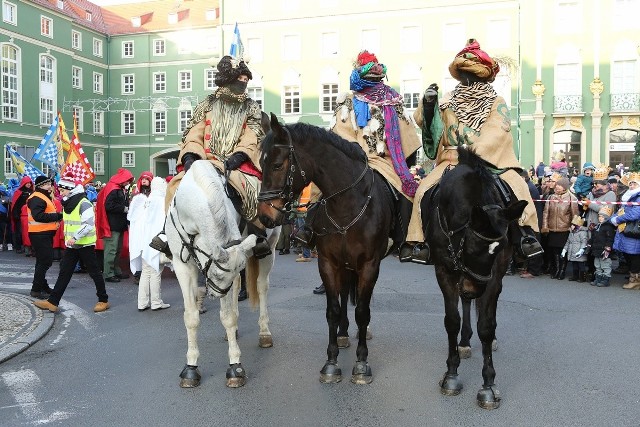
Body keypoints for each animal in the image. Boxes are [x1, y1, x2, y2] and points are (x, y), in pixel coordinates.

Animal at [168, 160, 280, 388]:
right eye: (216, 274)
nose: (214, 294)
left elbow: (228, 317)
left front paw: (235, 367)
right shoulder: (182, 266)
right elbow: (191, 317)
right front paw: (190, 368)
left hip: (270, 250)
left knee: (261, 287)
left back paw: (264, 332)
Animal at [256, 113, 400, 384]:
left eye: (278, 165)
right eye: (261, 164)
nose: (265, 216)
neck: (347, 204)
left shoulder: (369, 265)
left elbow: (362, 311)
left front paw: (361, 362)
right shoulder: (328, 263)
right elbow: (332, 309)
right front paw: (331, 362)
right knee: (344, 294)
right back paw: (343, 333)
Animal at [420, 148, 524, 412]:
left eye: (499, 250)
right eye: (473, 247)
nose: (472, 288)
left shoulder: (493, 276)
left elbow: (486, 326)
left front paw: (488, 385)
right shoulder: (445, 271)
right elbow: (452, 321)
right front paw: (451, 374)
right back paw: (465, 341)